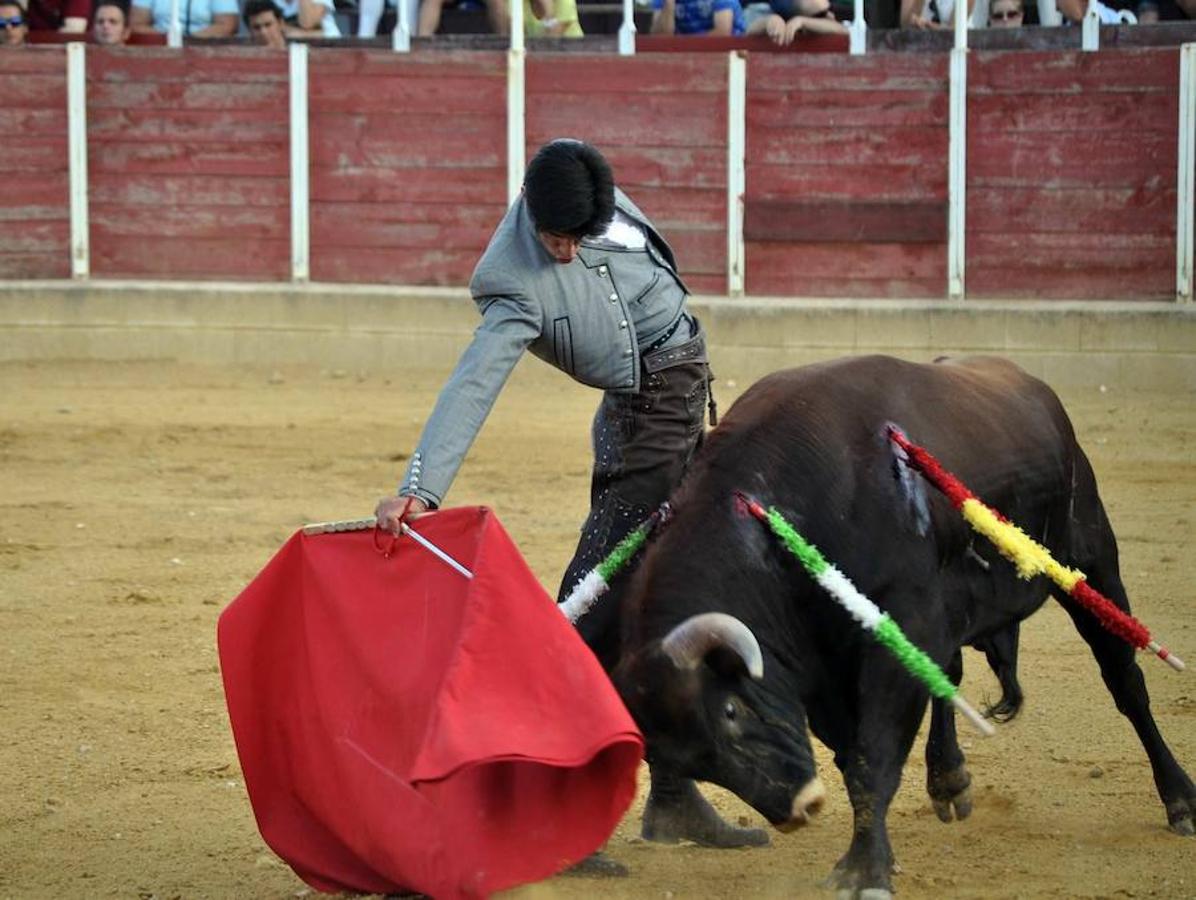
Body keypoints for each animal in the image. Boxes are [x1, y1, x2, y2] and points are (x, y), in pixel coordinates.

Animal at [612, 353, 1191, 894]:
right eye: (693, 760)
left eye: (731, 710)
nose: (799, 808)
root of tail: (1035, 389)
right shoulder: (828, 668)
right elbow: (856, 760)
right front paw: (876, 852)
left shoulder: (899, 634)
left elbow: (875, 755)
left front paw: (864, 870)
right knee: (950, 673)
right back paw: (949, 778)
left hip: (1091, 560)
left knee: (1126, 683)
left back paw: (1180, 799)